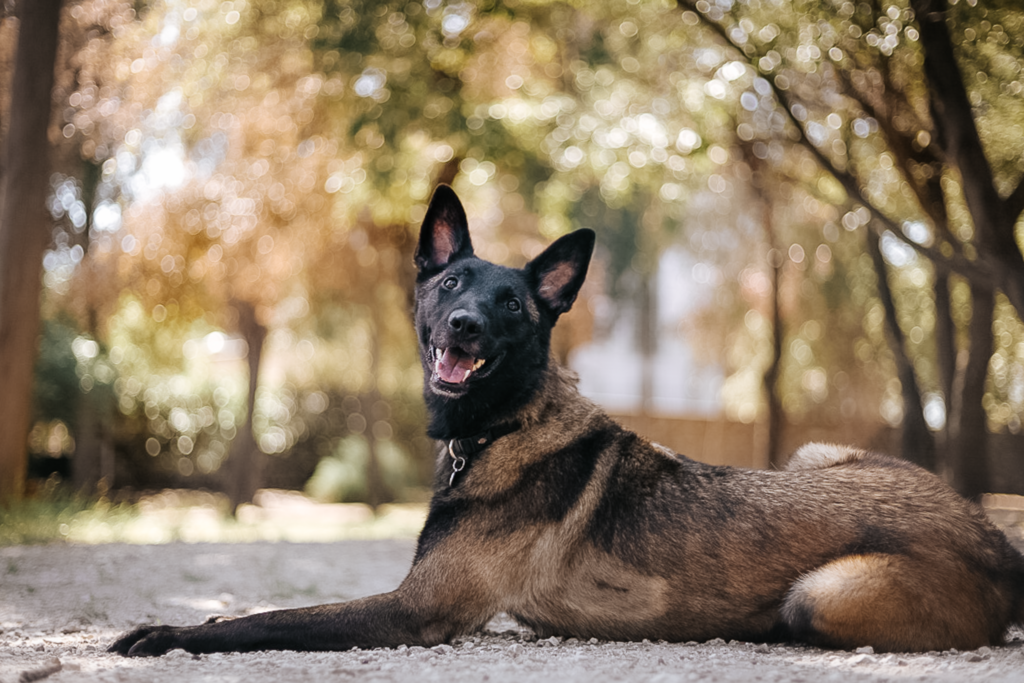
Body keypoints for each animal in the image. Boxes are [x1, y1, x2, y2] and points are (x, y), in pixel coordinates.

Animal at [112, 183, 1024, 655]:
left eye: (511, 304)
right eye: (452, 284)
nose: (463, 327)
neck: (506, 425)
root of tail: (991, 534)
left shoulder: (411, 610)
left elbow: (268, 619)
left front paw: (167, 630)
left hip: (823, 589)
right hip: (812, 451)